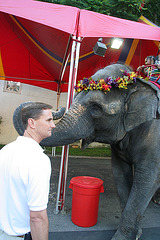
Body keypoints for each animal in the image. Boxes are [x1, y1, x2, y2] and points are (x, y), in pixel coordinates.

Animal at [13, 63, 160, 240]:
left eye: (96, 107)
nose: (57, 108)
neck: (137, 83)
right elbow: (120, 173)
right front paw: (135, 233)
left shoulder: (155, 134)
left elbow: (147, 177)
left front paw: (122, 237)